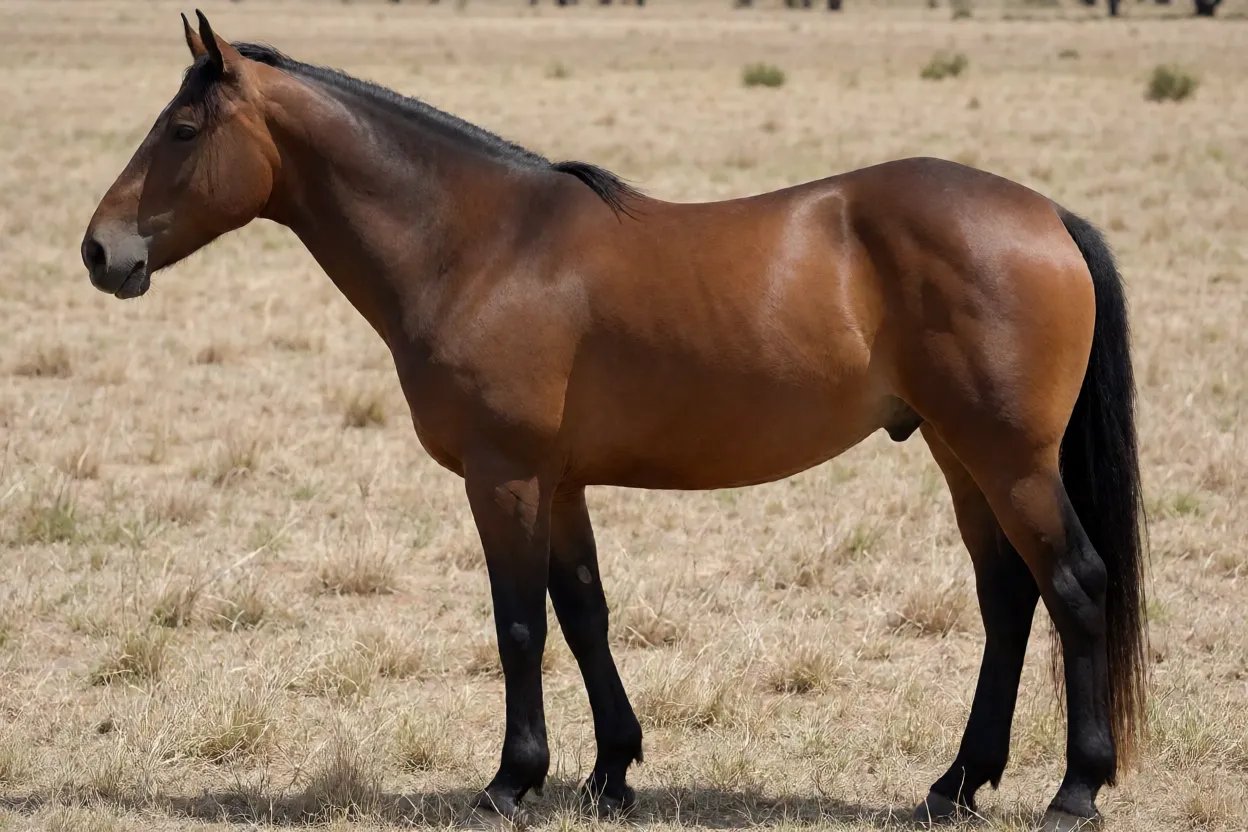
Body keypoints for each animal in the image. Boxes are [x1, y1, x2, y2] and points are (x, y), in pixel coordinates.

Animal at [82, 12, 1147, 831]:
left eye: (183, 129)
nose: (101, 252)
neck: (482, 245)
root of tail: (1047, 216)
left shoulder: (504, 475)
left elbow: (518, 622)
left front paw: (511, 781)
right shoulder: (560, 482)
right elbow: (584, 612)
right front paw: (609, 774)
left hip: (1011, 461)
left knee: (1075, 585)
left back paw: (1075, 790)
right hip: (962, 457)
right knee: (1008, 600)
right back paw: (954, 785)